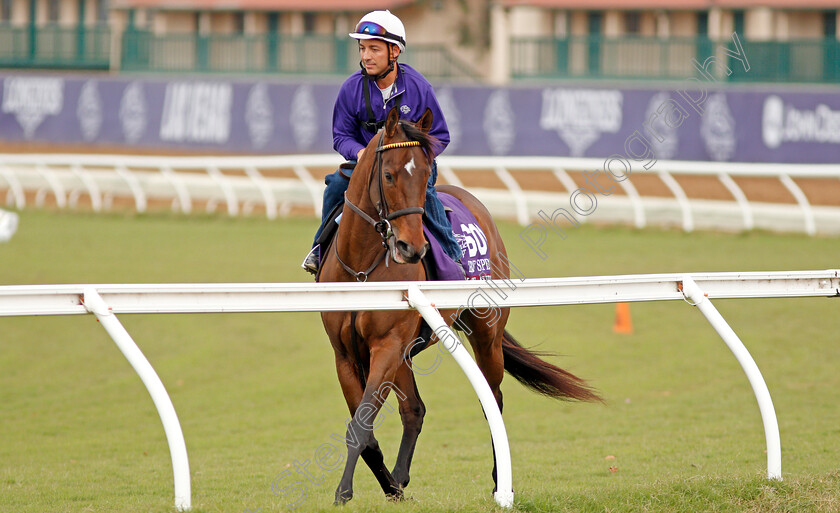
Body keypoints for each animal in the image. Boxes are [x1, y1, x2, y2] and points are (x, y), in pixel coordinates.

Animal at [318, 105, 600, 504]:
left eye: (424, 175)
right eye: (388, 175)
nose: (411, 248)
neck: (361, 268)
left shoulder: (387, 344)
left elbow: (361, 423)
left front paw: (343, 491)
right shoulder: (346, 354)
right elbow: (367, 427)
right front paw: (388, 488)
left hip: (485, 334)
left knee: (492, 399)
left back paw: (499, 481)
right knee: (414, 409)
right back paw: (399, 479)